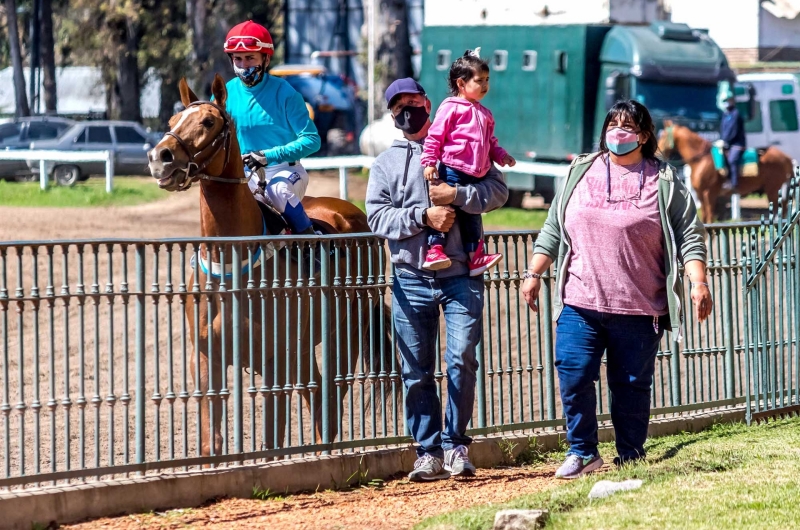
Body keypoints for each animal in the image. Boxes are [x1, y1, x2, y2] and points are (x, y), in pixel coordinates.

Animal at [149, 75, 390, 458]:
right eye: (172, 122)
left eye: (209, 122)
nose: (161, 157)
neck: (231, 264)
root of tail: (352, 214)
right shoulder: (205, 357)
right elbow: (212, 441)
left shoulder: (273, 358)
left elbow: (273, 438)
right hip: (305, 345)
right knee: (316, 392)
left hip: (346, 331)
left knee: (332, 394)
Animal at [656, 120, 792, 223]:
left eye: (663, 136)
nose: (657, 152)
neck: (701, 159)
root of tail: (786, 157)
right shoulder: (700, 194)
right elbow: (705, 218)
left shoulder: (709, 193)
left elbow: (710, 218)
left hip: (772, 190)